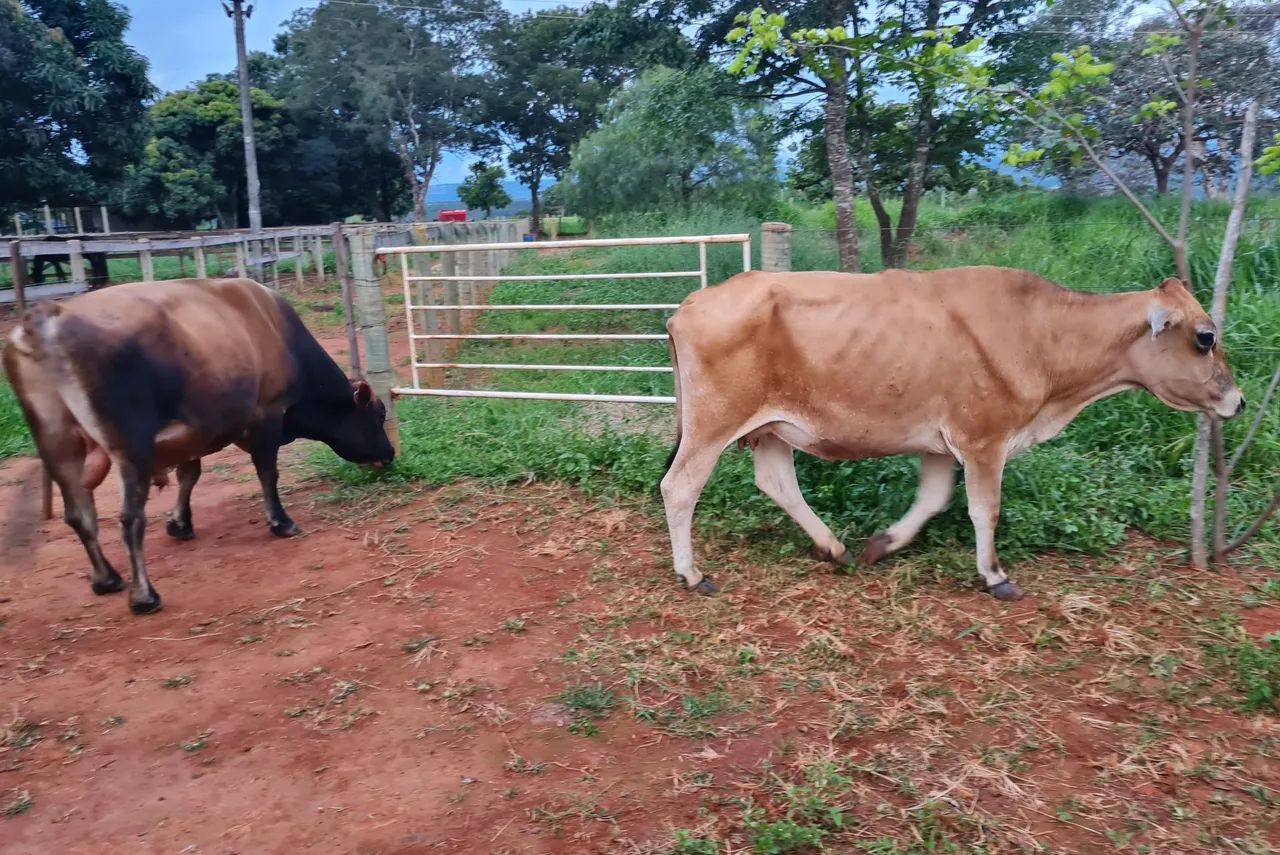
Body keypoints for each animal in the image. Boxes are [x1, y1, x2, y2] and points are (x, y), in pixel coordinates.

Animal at [3, 277, 395, 615]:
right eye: (378, 414)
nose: (390, 454)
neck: (277, 332)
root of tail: (49, 315)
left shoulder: (195, 430)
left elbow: (189, 474)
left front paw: (180, 523)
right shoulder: (266, 415)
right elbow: (268, 473)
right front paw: (281, 522)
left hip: (56, 440)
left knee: (79, 514)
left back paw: (106, 579)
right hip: (131, 446)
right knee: (130, 518)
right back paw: (144, 596)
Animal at [659, 265, 1245, 601]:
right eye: (1205, 336)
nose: (1237, 401)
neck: (1042, 334)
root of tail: (690, 304)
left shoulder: (941, 443)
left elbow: (934, 499)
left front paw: (883, 544)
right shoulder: (984, 438)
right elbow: (985, 509)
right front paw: (995, 575)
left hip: (772, 427)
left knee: (777, 482)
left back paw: (835, 547)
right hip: (714, 423)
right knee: (679, 486)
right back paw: (692, 574)